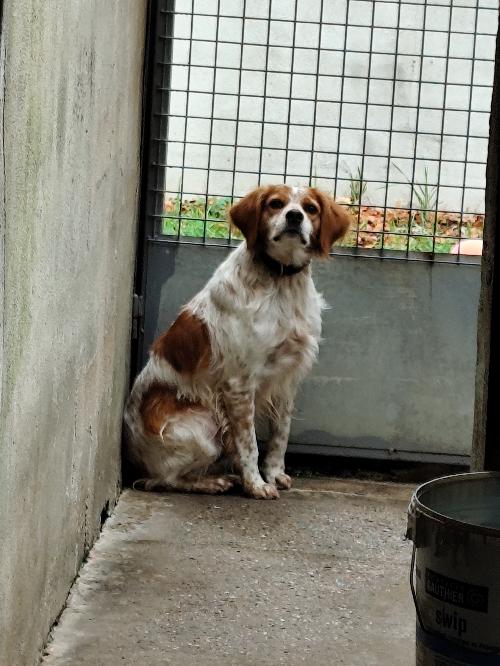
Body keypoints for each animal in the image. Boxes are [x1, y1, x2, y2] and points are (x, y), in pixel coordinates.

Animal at [124, 185, 350, 499]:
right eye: (275, 204)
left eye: (310, 208)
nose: (294, 216)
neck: (280, 281)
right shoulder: (239, 384)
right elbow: (249, 445)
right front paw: (256, 485)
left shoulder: (287, 379)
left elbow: (280, 435)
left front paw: (274, 474)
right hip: (204, 428)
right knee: (162, 479)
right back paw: (212, 482)